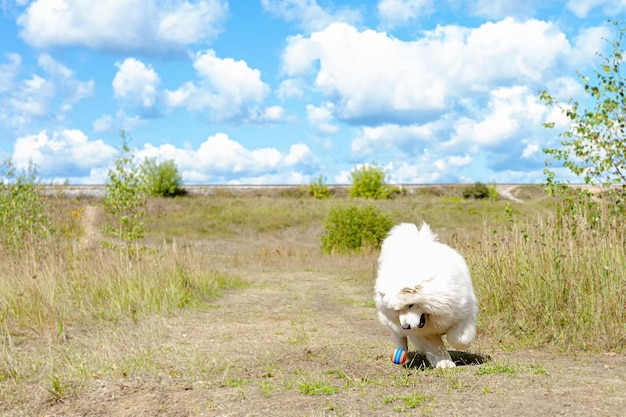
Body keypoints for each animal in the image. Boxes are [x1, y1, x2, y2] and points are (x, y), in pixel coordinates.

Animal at [372, 221, 476, 368]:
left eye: (411, 305)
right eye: (396, 310)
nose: (406, 326)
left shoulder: (463, 311)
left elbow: (457, 338)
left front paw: (461, 346)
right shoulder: (423, 332)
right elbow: (436, 346)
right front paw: (444, 363)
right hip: (392, 324)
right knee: (400, 338)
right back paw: (401, 351)